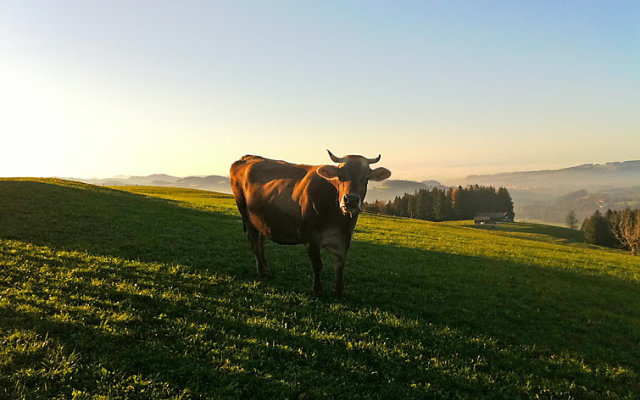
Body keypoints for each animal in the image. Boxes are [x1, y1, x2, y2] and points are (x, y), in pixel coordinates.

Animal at [229, 150, 390, 296]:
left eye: (366, 178)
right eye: (340, 176)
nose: (350, 200)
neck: (338, 218)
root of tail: (246, 157)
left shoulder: (344, 239)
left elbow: (340, 266)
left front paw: (339, 292)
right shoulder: (311, 237)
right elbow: (317, 265)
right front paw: (317, 290)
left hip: (262, 220)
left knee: (261, 242)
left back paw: (266, 269)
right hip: (246, 215)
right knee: (255, 244)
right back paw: (262, 272)